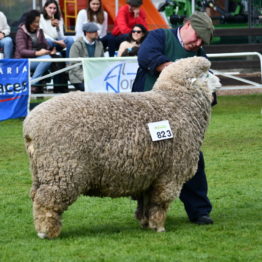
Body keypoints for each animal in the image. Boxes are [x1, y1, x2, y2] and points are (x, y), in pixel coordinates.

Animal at [23, 56, 222, 238]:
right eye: (206, 74)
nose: (220, 81)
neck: (178, 103)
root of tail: (30, 125)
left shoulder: (149, 175)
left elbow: (145, 203)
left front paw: (146, 223)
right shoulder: (171, 174)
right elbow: (160, 204)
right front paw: (158, 227)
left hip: (41, 170)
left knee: (35, 196)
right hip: (62, 169)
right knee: (45, 202)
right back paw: (46, 232)